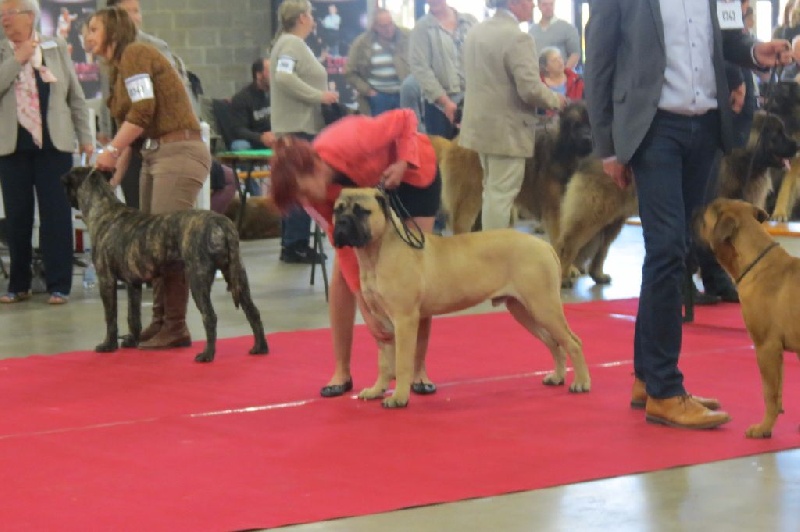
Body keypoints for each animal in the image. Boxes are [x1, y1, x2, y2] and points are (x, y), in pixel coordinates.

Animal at [60, 168, 272, 364]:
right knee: (253, 311)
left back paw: (207, 355)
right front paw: (132, 341)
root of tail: (221, 222)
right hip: (237, 275)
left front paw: (108, 345)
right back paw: (260, 347)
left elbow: (110, 317)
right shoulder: (133, 284)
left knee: (210, 317)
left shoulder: (106, 280)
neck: (104, 210)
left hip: (198, 279)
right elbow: (133, 316)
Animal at [330, 187, 588, 408]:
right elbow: (384, 362)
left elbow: (402, 362)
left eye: (361, 211)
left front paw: (399, 397)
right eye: (337, 210)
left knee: (573, 342)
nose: (341, 223)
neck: (375, 253)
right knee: (554, 343)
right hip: (524, 310)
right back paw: (557, 377)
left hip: (543, 307)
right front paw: (377, 390)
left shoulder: (404, 320)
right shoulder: (382, 322)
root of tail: (545, 246)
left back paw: (581, 383)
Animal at [692, 197, 800, 438]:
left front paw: (764, 428)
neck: (756, 263)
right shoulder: (777, 352)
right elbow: (778, 388)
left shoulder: (766, 347)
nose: (694, 211)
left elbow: (769, 392)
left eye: (705, 216)